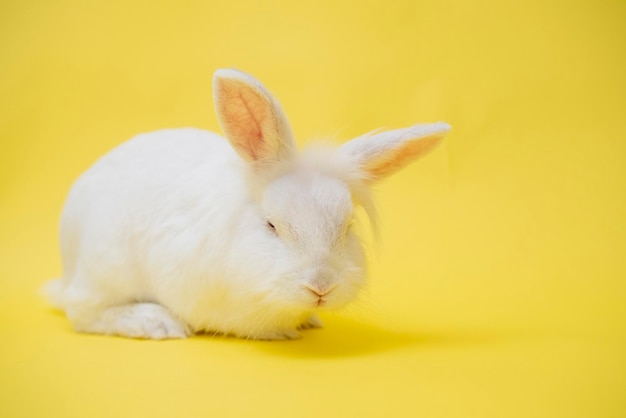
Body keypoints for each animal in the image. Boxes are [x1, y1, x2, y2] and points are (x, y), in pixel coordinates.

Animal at [44, 68, 450, 340]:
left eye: (347, 227)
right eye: (271, 225)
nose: (320, 287)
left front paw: (309, 320)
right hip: (106, 267)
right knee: (83, 312)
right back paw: (157, 323)